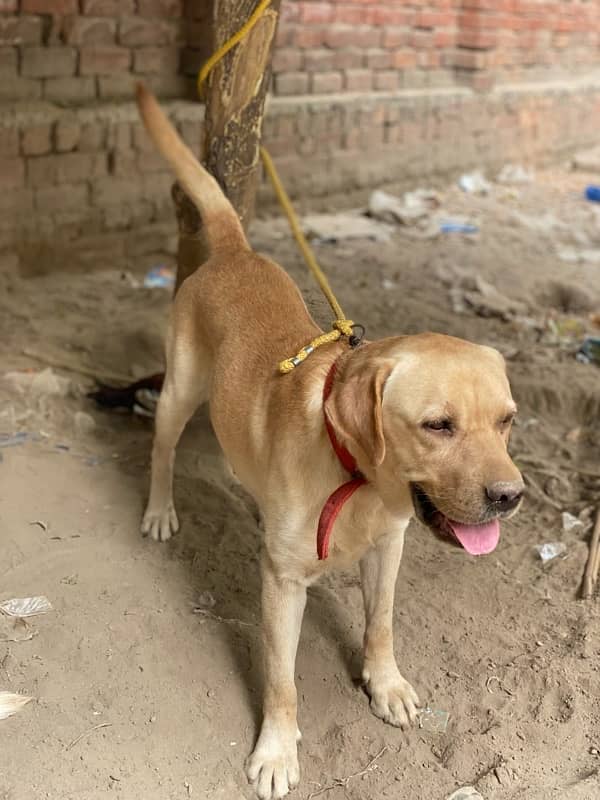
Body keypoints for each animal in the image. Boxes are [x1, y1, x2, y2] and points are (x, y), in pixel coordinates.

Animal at [138, 84, 524, 796]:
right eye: (438, 425)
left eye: (507, 419)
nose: (511, 497)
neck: (358, 477)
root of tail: (234, 250)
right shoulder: (282, 584)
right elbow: (282, 681)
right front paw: (276, 751)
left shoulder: (389, 548)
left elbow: (382, 623)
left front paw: (386, 684)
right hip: (179, 391)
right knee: (161, 447)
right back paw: (158, 510)